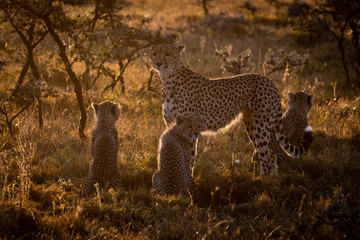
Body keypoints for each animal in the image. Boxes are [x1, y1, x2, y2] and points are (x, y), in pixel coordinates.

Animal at [149, 43, 312, 175]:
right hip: (251, 124)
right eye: (155, 53)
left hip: (261, 126)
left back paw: (263, 184)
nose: (158, 63)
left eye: (167, 54)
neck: (168, 81)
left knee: (266, 158)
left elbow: (189, 158)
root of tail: (268, 80)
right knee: (271, 158)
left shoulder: (191, 129)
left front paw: (188, 182)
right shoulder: (172, 125)